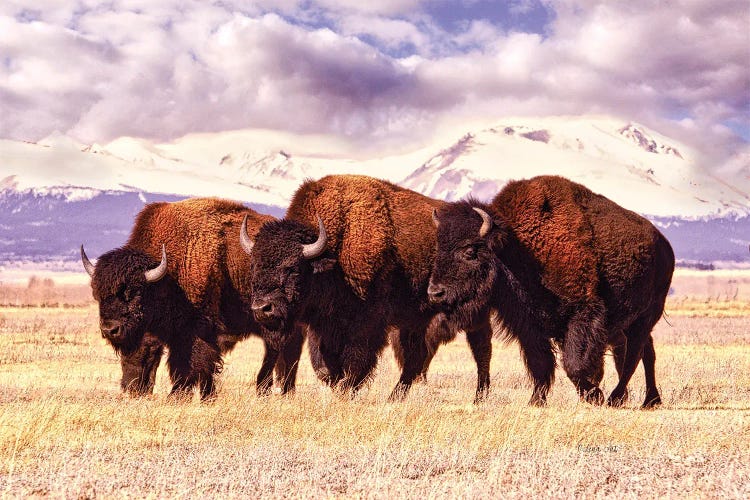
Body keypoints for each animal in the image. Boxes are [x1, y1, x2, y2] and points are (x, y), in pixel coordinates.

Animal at [82, 197, 306, 400]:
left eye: (133, 294)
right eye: (97, 295)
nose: (110, 330)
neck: (166, 277)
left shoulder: (195, 330)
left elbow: (190, 362)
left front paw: (178, 396)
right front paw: (208, 397)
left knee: (278, 350)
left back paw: (267, 391)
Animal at [239, 176, 488, 402]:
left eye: (292, 268)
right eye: (254, 265)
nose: (262, 309)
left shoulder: (368, 323)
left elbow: (356, 360)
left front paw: (347, 389)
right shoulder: (323, 326)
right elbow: (325, 365)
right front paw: (338, 384)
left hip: (473, 311)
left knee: (480, 348)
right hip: (415, 319)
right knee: (416, 356)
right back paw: (394, 398)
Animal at [428, 178, 676, 408]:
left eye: (470, 251)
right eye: (439, 248)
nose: (435, 292)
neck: (517, 249)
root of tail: (666, 247)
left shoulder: (582, 314)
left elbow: (573, 364)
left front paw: (594, 395)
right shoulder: (530, 328)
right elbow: (541, 364)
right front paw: (536, 401)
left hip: (646, 317)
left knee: (634, 355)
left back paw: (616, 398)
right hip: (631, 322)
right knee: (645, 353)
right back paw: (650, 400)